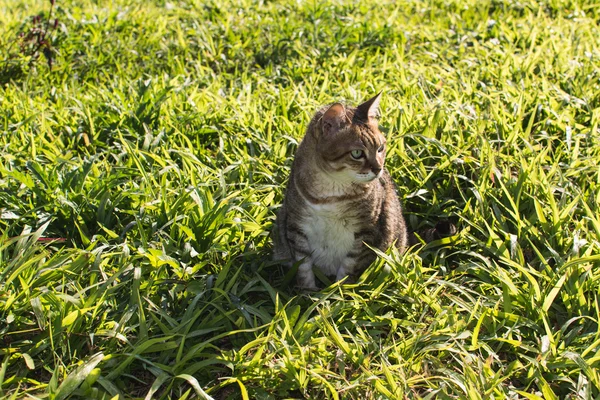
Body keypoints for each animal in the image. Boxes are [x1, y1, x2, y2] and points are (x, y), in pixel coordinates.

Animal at [276, 92, 408, 290]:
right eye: (357, 153)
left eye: (380, 148)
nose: (378, 169)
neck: (329, 194)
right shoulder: (297, 226)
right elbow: (303, 266)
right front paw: (307, 291)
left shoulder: (365, 230)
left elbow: (349, 267)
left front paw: (339, 292)